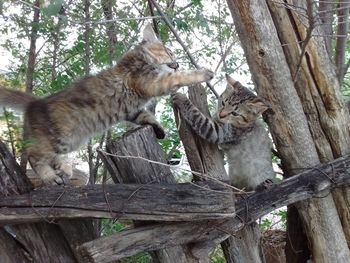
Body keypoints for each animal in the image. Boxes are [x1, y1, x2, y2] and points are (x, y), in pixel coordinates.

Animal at [0, 24, 213, 186]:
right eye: (170, 52)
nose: (177, 63)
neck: (139, 60)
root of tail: (35, 101)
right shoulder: (152, 83)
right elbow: (179, 78)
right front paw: (203, 73)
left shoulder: (132, 109)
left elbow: (145, 116)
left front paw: (159, 129)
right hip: (58, 138)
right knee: (33, 156)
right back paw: (50, 177)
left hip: (68, 142)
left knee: (52, 157)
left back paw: (64, 170)